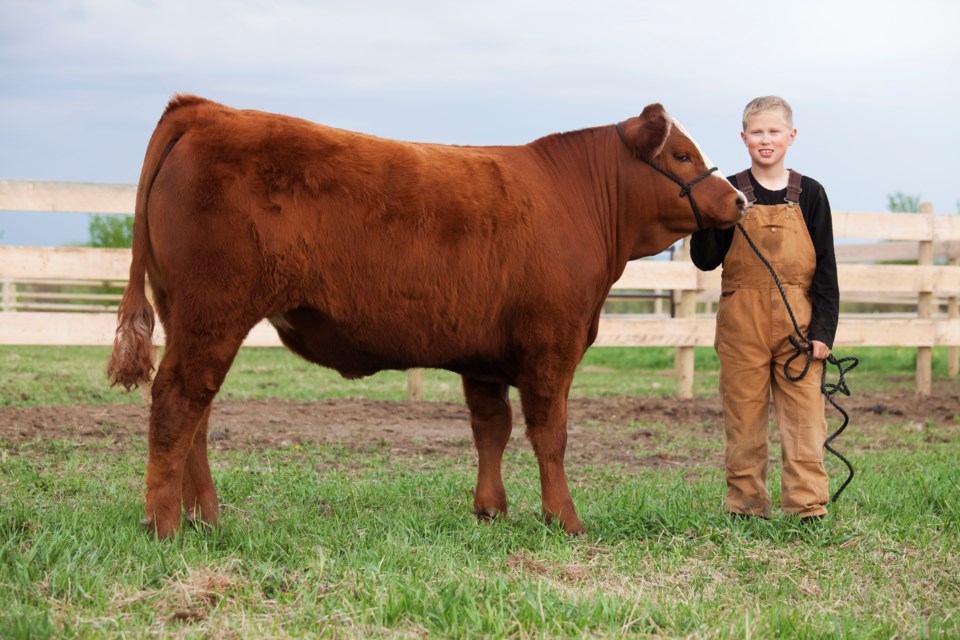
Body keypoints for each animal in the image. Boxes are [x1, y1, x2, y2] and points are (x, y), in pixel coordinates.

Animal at [109, 94, 748, 536]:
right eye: (683, 154)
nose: (739, 199)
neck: (575, 199)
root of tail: (204, 110)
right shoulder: (553, 345)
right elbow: (551, 434)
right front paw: (564, 520)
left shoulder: (484, 357)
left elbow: (492, 428)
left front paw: (490, 510)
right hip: (213, 314)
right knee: (177, 403)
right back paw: (164, 524)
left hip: (186, 315)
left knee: (197, 413)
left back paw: (206, 517)